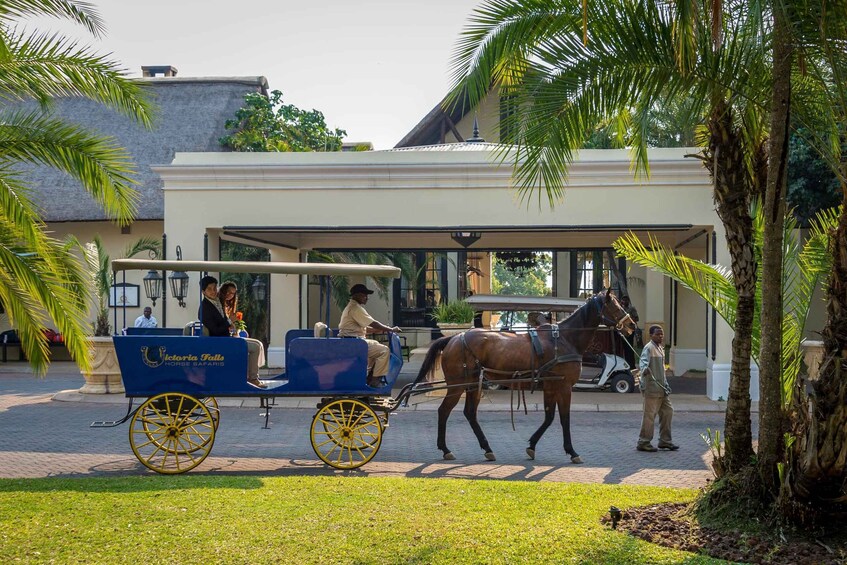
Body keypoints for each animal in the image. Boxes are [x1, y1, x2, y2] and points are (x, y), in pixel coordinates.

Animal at [410, 290, 636, 462]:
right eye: (615, 306)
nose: (631, 325)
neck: (564, 340)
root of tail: (454, 338)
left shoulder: (551, 386)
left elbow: (549, 417)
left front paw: (532, 445)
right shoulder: (564, 386)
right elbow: (564, 418)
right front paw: (572, 451)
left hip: (474, 384)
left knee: (470, 413)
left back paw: (487, 448)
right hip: (458, 384)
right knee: (444, 411)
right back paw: (445, 449)